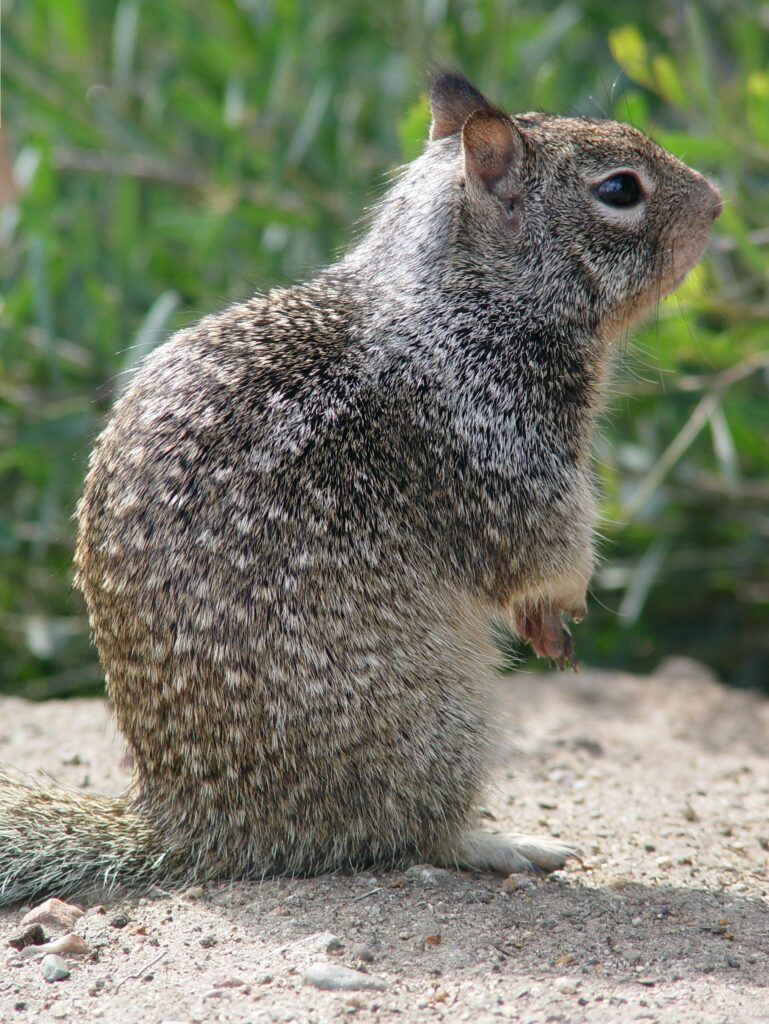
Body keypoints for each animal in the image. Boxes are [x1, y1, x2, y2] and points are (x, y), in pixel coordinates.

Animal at [0, 74, 720, 904]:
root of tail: (192, 823)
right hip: (448, 720)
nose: (716, 202)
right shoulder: (508, 455)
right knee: (415, 833)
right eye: (619, 190)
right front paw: (556, 614)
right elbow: (544, 555)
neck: (468, 300)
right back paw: (508, 844)